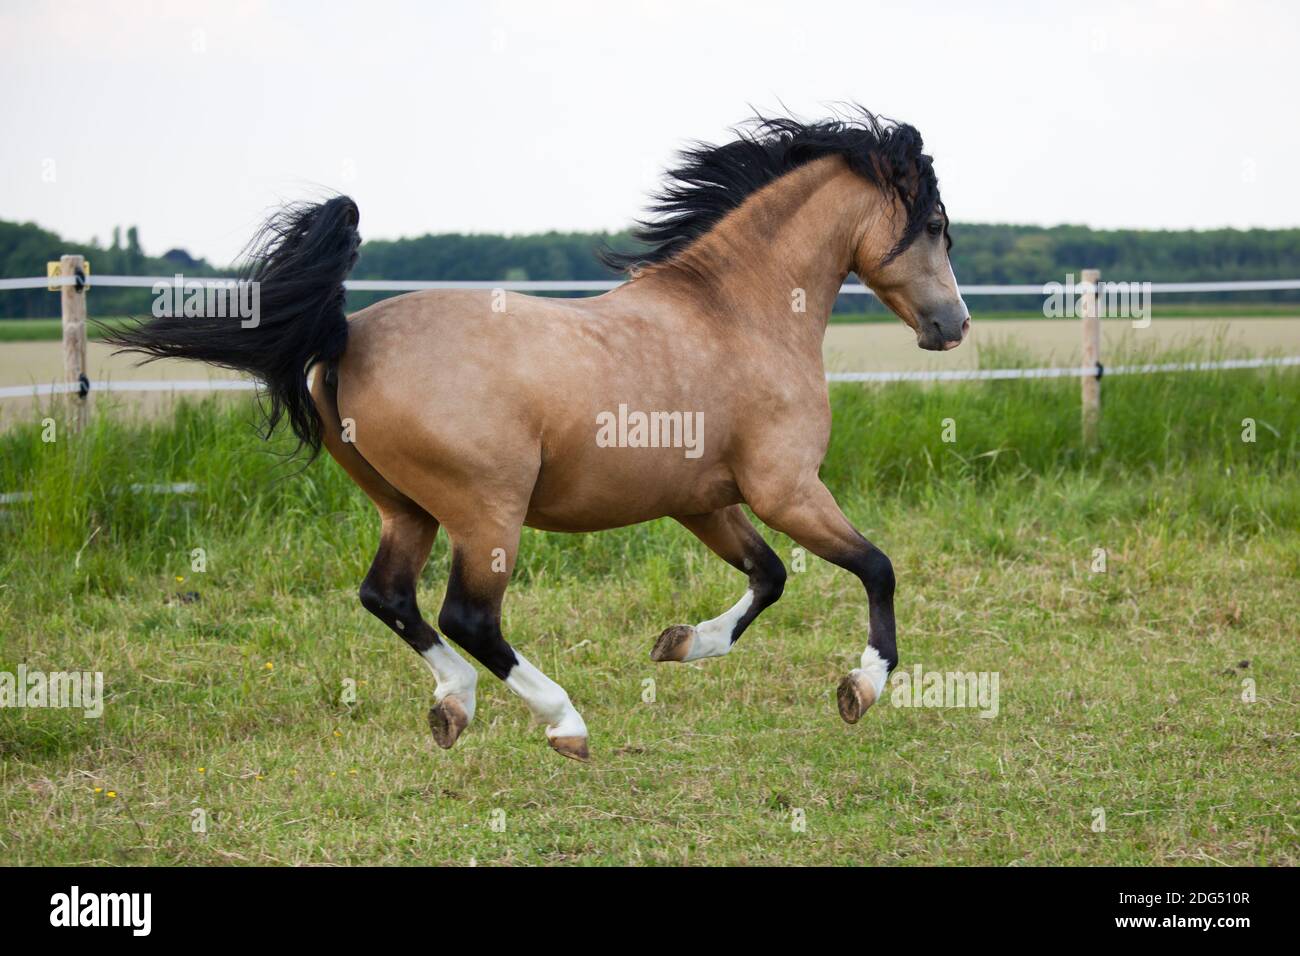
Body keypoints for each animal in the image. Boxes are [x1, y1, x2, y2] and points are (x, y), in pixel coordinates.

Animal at [109, 108, 967, 764]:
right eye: (934, 224)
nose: (953, 326)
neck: (734, 314)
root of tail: (346, 338)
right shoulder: (787, 489)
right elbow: (877, 568)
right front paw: (860, 688)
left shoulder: (703, 500)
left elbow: (770, 576)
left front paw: (681, 643)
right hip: (487, 512)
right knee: (469, 618)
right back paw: (564, 722)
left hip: (407, 511)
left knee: (388, 597)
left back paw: (453, 705)